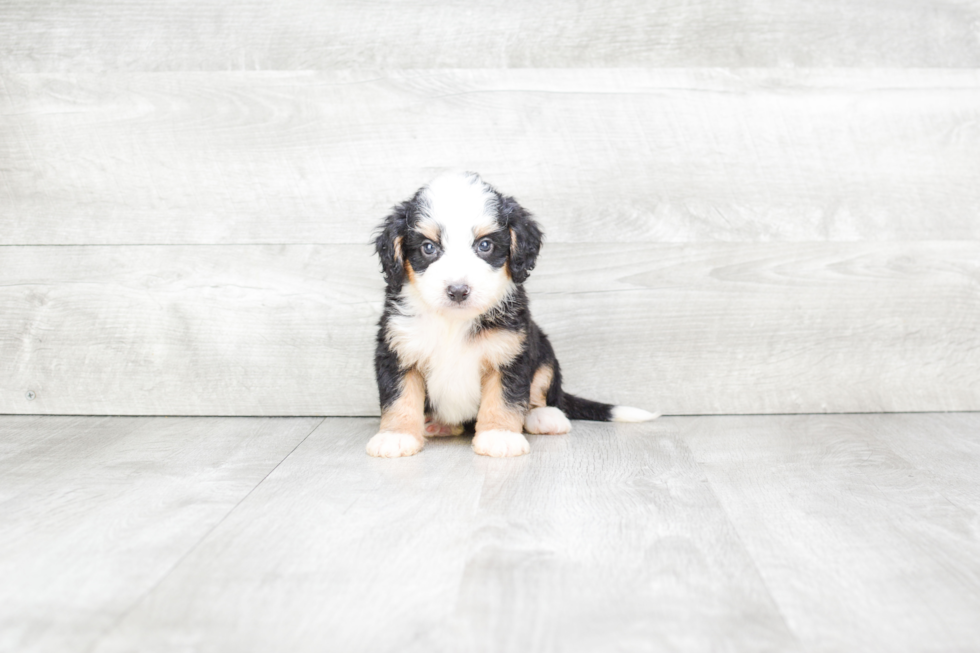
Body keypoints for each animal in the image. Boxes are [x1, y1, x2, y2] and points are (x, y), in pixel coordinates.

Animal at [368, 173, 660, 458]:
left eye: (485, 245)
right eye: (428, 248)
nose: (458, 291)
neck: (454, 322)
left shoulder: (510, 352)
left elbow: (504, 399)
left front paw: (499, 435)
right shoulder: (397, 350)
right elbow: (399, 397)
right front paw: (397, 436)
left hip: (544, 350)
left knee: (540, 392)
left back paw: (544, 417)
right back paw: (439, 424)